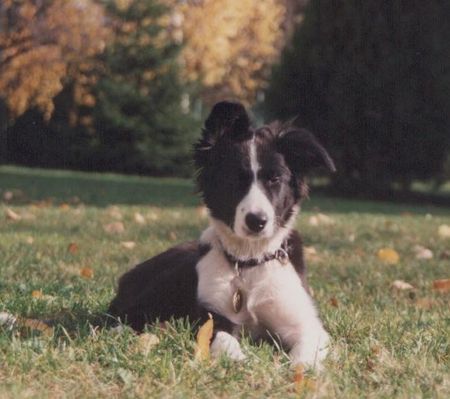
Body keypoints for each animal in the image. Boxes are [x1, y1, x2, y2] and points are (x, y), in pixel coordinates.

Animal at [107, 101, 336, 370]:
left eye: (275, 179)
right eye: (234, 179)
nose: (257, 221)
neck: (249, 261)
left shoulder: (306, 323)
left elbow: (304, 351)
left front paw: (301, 371)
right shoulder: (211, 315)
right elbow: (223, 337)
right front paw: (237, 359)